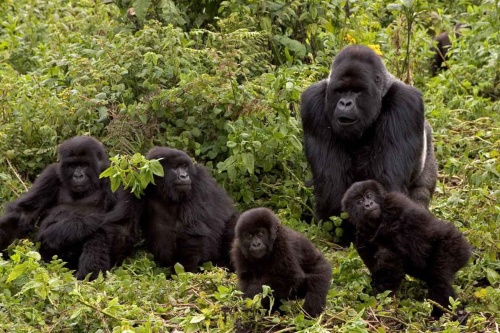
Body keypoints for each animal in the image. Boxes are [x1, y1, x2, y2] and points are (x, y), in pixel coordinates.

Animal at [0, 136, 139, 278]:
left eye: (84, 165)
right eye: (72, 165)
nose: (78, 176)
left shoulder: (116, 178)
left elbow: (122, 225)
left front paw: (59, 232)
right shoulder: (49, 175)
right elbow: (24, 213)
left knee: (101, 232)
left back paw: (88, 277)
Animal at [300, 44, 438, 244]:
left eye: (358, 91)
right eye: (340, 91)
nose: (345, 103)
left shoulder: (405, 103)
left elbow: (385, 185)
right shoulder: (313, 103)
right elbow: (331, 184)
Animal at [340, 180, 472, 316]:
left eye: (369, 195)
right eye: (359, 201)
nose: (368, 204)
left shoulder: (396, 202)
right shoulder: (360, 237)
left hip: (456, 246)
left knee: (439, 277)